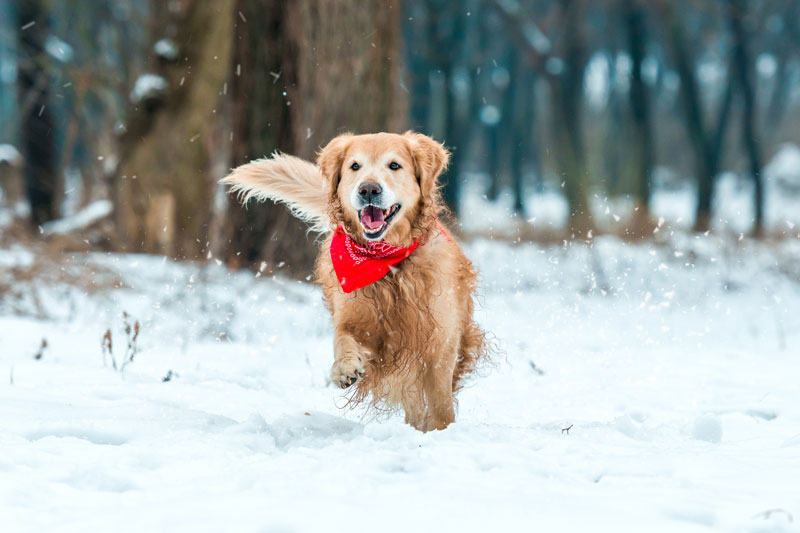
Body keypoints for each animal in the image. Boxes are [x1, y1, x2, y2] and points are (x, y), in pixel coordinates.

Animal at [222, 131, 490, 430]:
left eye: (394, 165)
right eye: (354, 166)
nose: (368, 190)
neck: (389, 265)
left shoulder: (439, 339)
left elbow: (440, 400)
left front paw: (442, 429)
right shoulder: (355, 318)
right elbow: (343, 338)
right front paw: (344, 368)